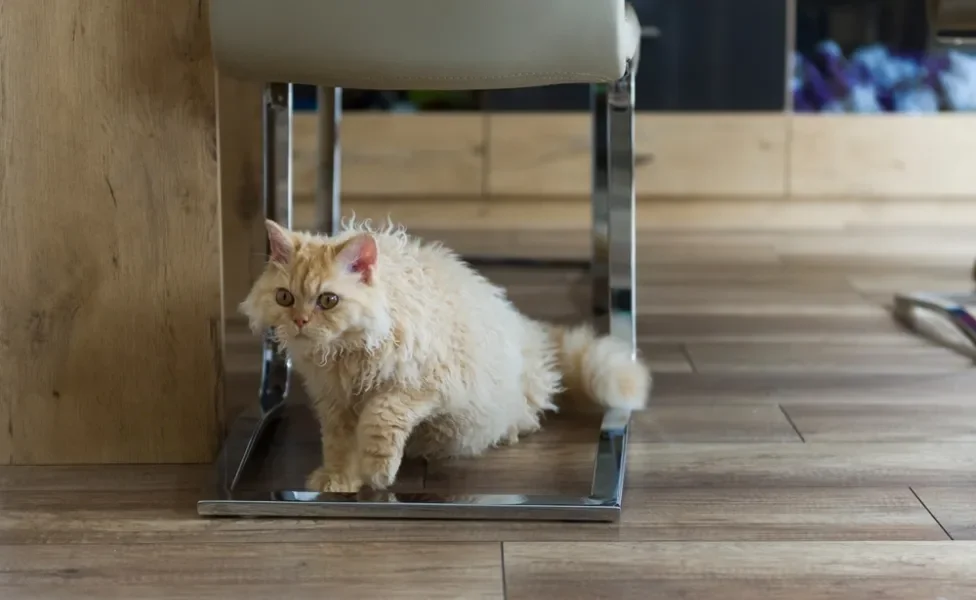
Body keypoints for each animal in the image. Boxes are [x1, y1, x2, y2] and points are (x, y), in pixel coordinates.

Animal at [240, 219, 652, 492]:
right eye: (284, 298)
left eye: (328, 300)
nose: (299, 321)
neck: (345, 356)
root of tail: (527, 331)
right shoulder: (334, 403)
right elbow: (339, 445)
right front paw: (340, 478)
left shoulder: (430, 385)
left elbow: (381, 415)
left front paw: (379, 471)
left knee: (527, 412)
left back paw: (511, 430)